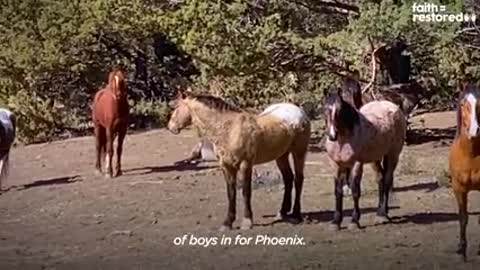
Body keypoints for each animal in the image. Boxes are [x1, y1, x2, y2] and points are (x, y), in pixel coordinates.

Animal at [168, 90, 312, 230]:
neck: (230, 129)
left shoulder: (245, 165)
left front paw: (247, 222)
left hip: (299, 152)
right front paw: (227, 223)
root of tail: (299, 111)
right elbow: (231, 193)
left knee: (298, 179)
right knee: (288, 178)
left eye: (177, 107)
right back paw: (282, 212)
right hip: (281, 155)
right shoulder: (226, 166)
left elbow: (245, 192)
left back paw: (296, 215)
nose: (170, 126)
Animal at [324, 87, 406, 230]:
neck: (343, 140)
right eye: (324, 109)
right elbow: (338, 191)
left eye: (339, 110)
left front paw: (354, 221)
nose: (332, 135)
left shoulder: (356, 164)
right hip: (375, 159)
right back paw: (381, 213)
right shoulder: (336, 165)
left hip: (393, 155)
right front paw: (336, 222)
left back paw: (382, 215)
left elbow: (355, 190)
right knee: (380, 179)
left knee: (387, 180)